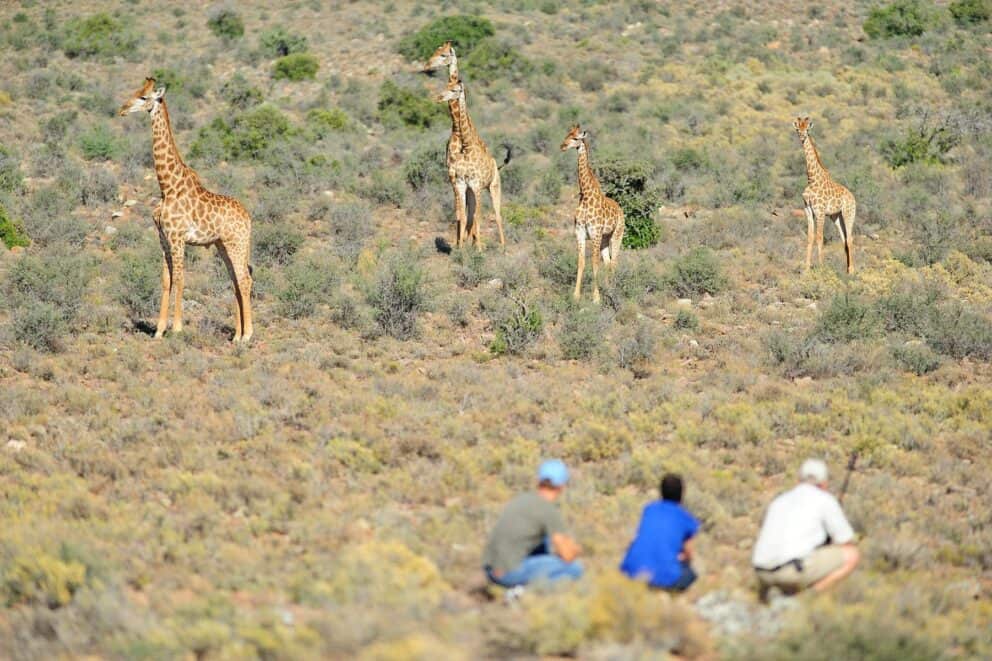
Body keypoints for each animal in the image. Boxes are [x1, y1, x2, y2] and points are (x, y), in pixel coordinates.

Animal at [119, 78, 254, 342]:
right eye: (135, 92)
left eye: (144, 97)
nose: (122, 109)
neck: (167, 187)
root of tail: (249, 218)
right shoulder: (163, 239)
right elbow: (166, 280)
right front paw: (159, 330)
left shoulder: (178, 237)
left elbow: (180, 280)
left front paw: (178, 328)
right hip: (223, 245)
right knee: (236, 280)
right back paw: (236, 336)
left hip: (237, 243)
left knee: (244, 280)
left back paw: (248, 335)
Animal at [435, 77, 508, 250]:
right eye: (446, 85)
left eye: (454, 90)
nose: (439, 97)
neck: (467, 148)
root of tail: (495, 164)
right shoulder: (462, 185)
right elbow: (462, 214)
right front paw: (460, 248)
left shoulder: (476, 186)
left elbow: (478, 216)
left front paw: (479, 249)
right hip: (473, 192)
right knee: (470, 215)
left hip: (494, 186)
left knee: (497, 214)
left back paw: (503, 246)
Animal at [560, 125, 625, 303]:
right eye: (567, 134)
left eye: (576, 138)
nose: (562, 146)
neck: (586, 196)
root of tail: (620, 209)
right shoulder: (580, 232)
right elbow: (581, 261)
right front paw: (576, 295)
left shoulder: (595, 233)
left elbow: (594, 263)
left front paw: (596, 298)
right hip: (605, 239)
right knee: (608, 262)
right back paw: (608, 287)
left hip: (617, 235)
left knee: (615, 261)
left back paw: (613, 289)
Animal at [793, 116, 856, 274]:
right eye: (798, 129)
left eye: (807, 129)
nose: (802, 137)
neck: (811, 179)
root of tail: (853, 198)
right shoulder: (808, 210)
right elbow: (810, 237)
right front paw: (806, 268)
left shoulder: (820, 211)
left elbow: (819, 237)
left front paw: (821, 267)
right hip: (836, 217)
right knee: (844, 239)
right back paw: (846, 270)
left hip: (848, 213)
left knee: (850, 238)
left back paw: (852, 270)